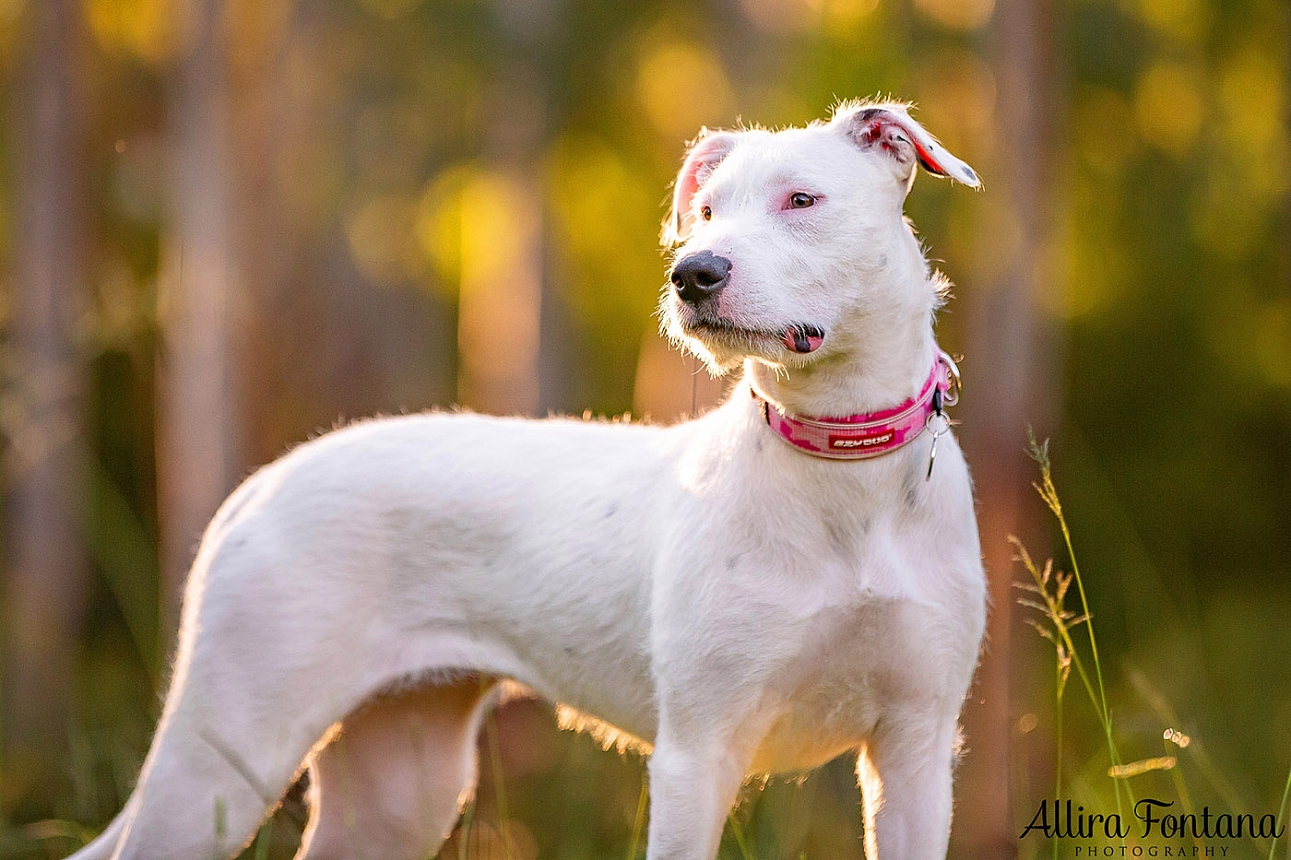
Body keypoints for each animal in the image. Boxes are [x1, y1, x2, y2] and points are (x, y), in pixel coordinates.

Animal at [70, 102, 986, 857]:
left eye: (802, 201)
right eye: (707, 211)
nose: (692, 274)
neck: (842, 466)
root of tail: (264, 483)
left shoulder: (914, 752)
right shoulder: (696, 754)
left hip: (400, 780)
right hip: (226, 755)